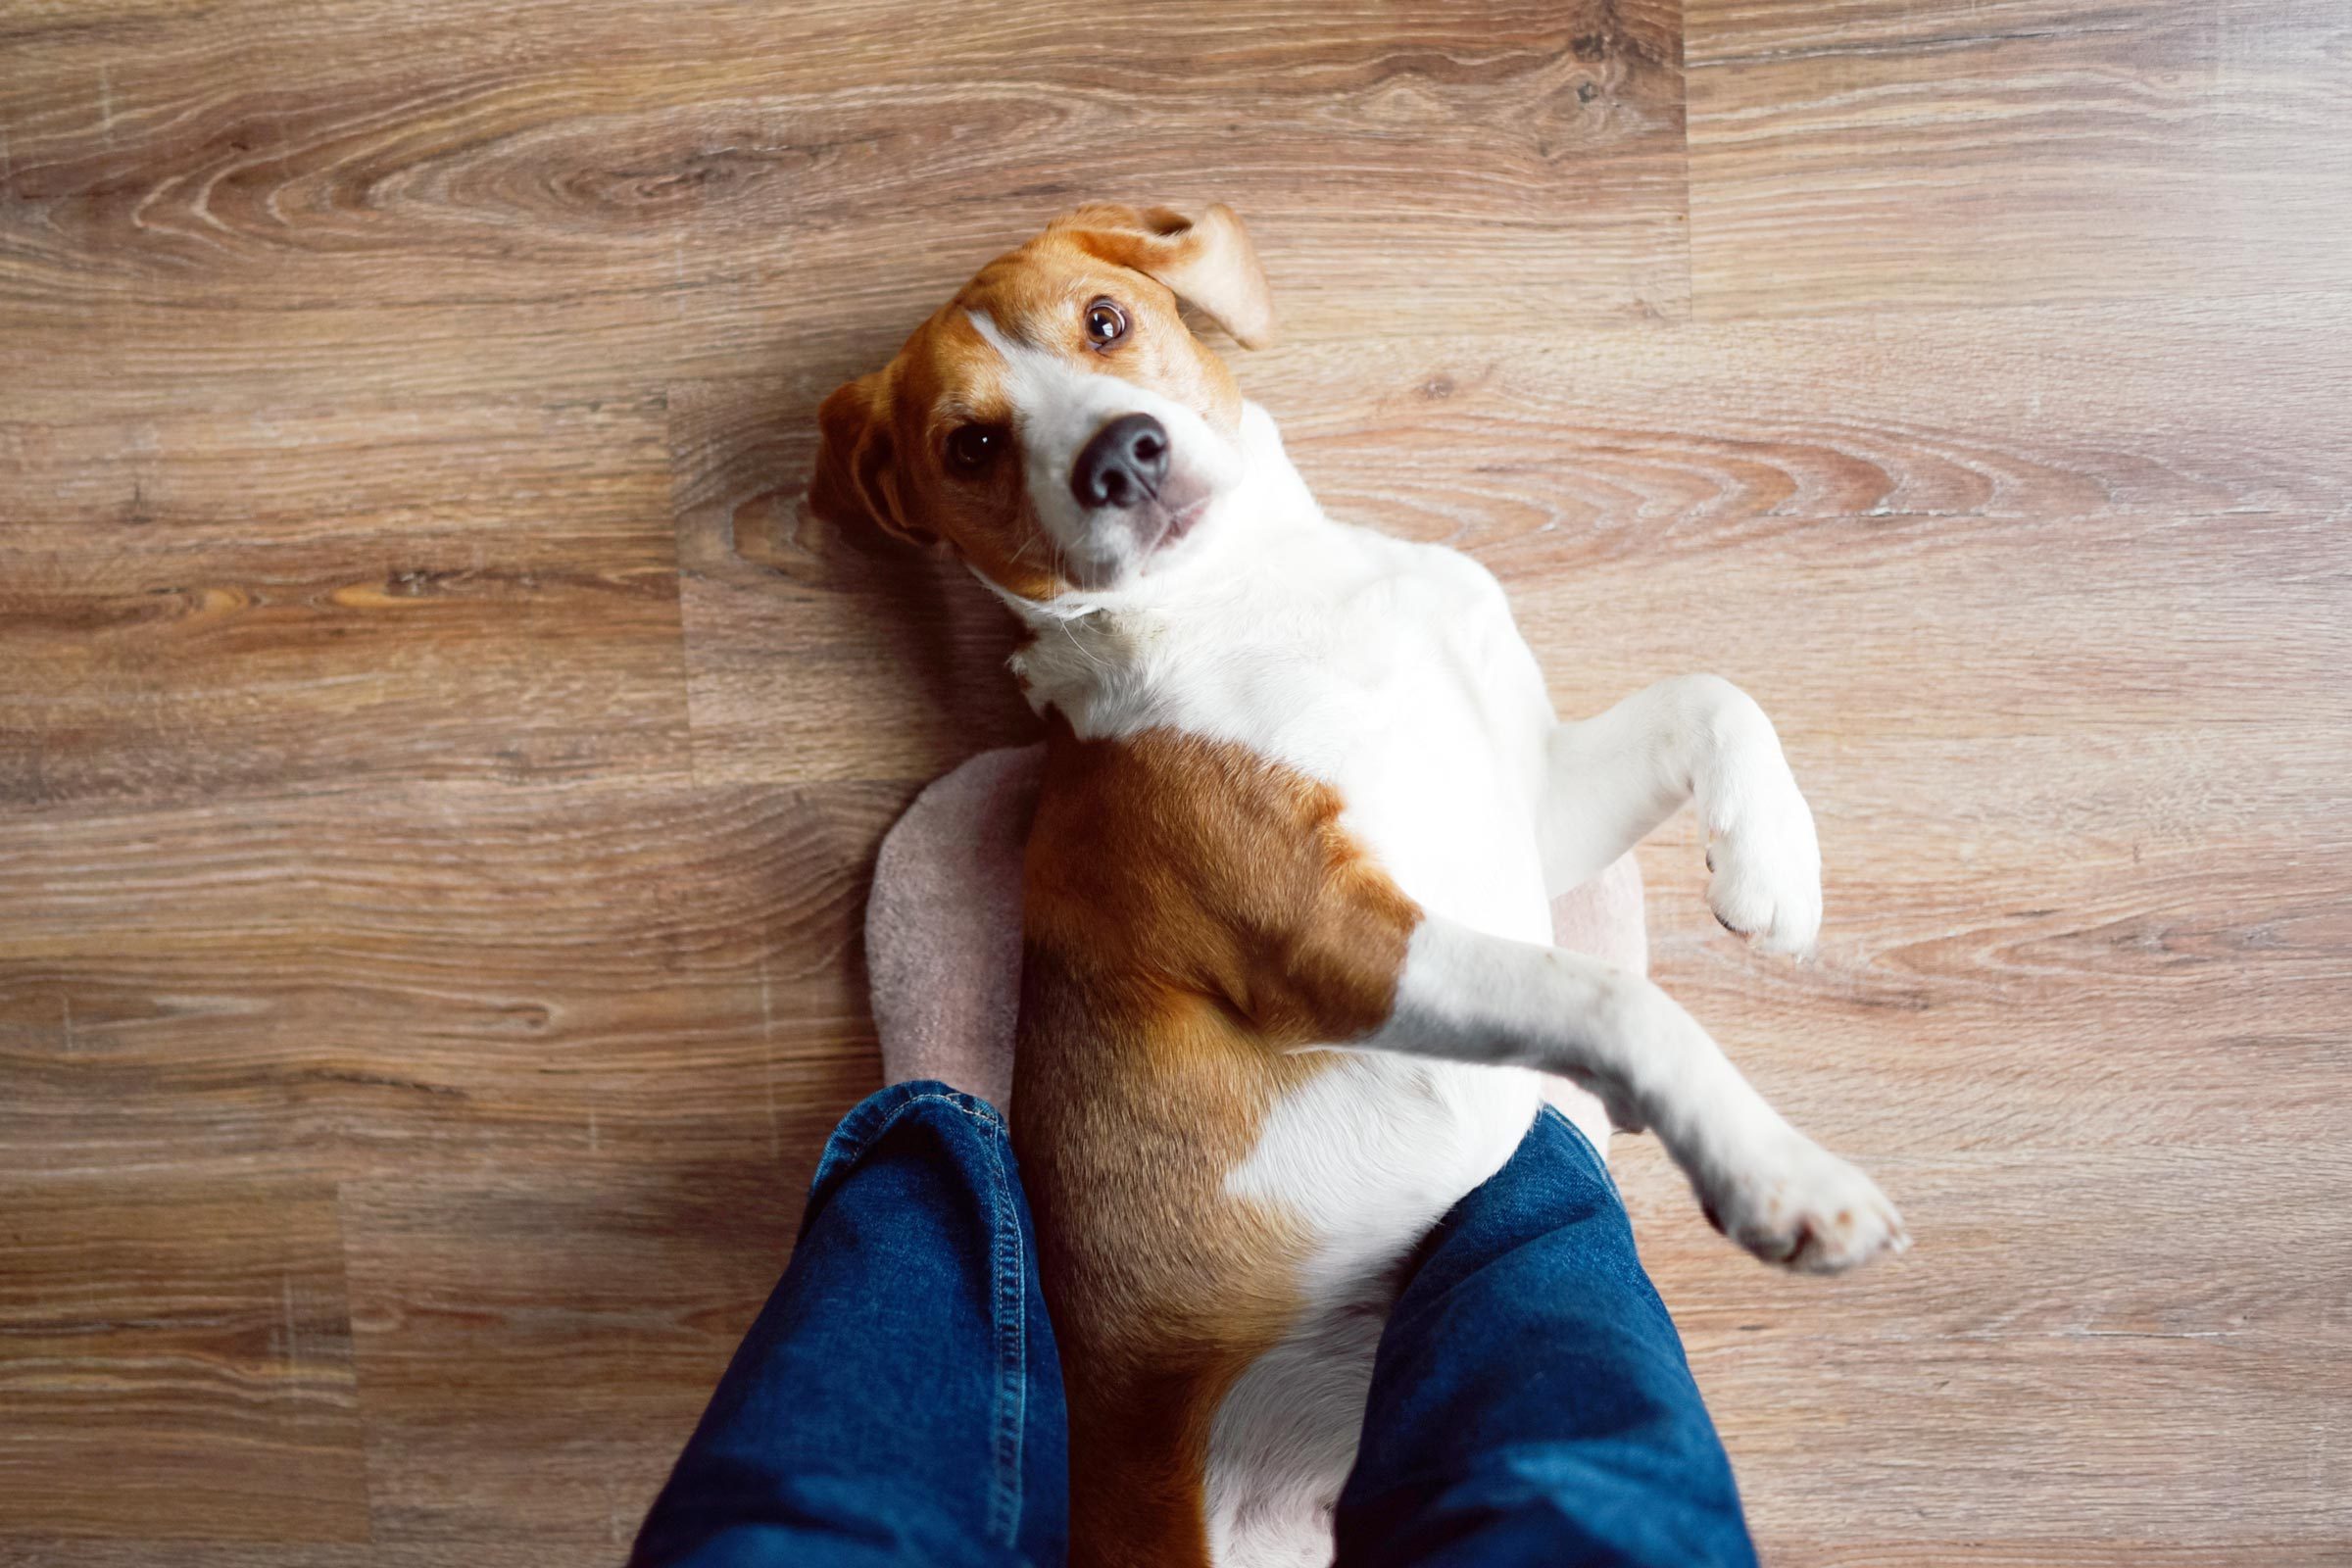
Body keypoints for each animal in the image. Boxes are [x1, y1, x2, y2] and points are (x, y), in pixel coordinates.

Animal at [808, 205, 1909, 1568]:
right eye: (970, 445)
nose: (1123, 456)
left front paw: (1772, 858)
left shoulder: (1525, 812)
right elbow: (1610, 998)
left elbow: (1710, 692)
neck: (1256, 596)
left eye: (1104, 320)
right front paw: (1773, 1172)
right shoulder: (1332, 943)